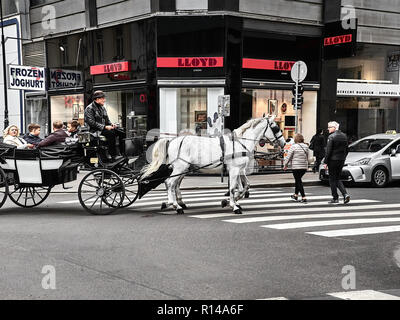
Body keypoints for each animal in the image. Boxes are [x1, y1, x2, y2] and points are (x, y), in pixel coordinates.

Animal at [142, 115, 286, 215]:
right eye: (276, 127)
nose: (284, 143)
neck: (240, 142)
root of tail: (172, 141)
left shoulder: (239, 170)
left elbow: (244, 187)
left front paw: (231, 201)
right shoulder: (234, 170)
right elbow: (233, 188)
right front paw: (234, 206)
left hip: (183, 168)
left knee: (172, 184)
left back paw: (174, 203)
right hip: (180, 167)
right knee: (170, 183)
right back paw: (175, 206)